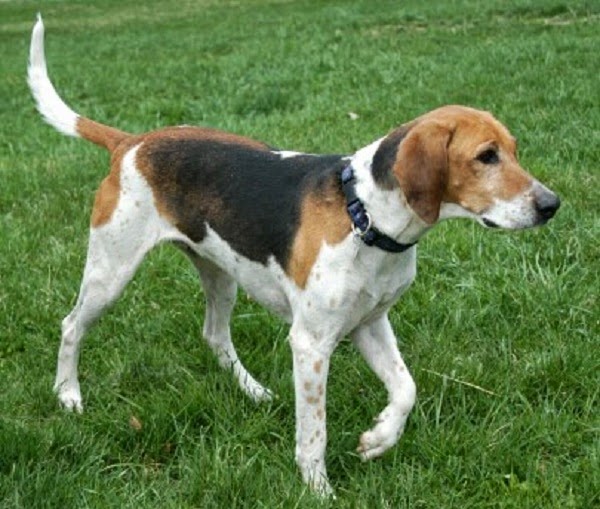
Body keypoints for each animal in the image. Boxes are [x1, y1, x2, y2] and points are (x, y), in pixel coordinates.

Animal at [30, 14, 560, 492]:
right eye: (486, 157)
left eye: (514, 150)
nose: (551, 204)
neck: (365, 217)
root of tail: (131, 143)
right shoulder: (311, 344)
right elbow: (314, 434)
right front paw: (318, 489)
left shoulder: (370, 322)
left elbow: (406, 389)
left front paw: (379, 439)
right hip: (111, 271)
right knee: (72, 326)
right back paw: (68, 396)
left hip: (221, 273)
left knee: (215, 335)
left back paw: (253, 391)